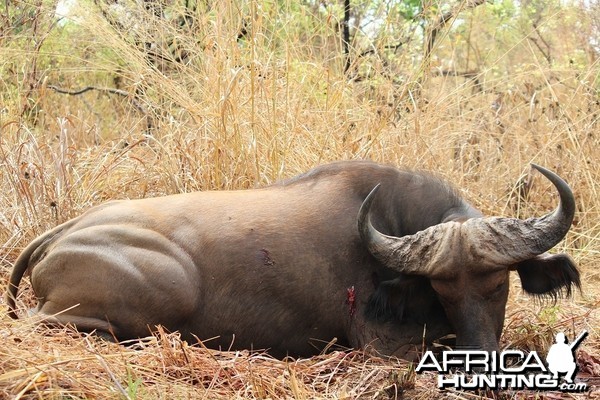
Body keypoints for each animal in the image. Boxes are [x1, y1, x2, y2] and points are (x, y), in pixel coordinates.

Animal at [4, 161, 580, 358]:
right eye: (443, 289)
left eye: (499, 283)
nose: (481, 351)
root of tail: (62, 233)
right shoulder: (378, 343)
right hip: (164, 290)